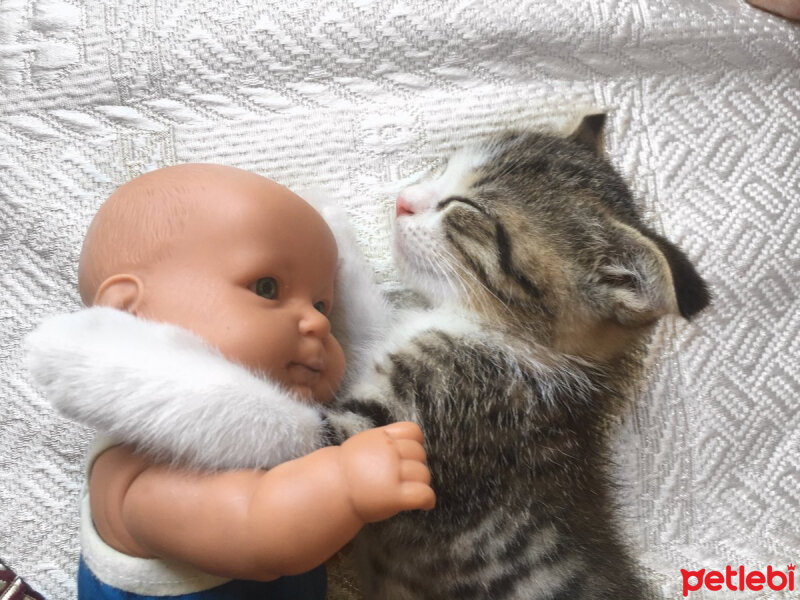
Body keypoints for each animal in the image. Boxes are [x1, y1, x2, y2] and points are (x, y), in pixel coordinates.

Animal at [328, 115, 708, 596]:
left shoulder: (414, 425)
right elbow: (365, 317)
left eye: (466, 208)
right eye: (444, 168)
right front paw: (327, 225)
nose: (402, 202)